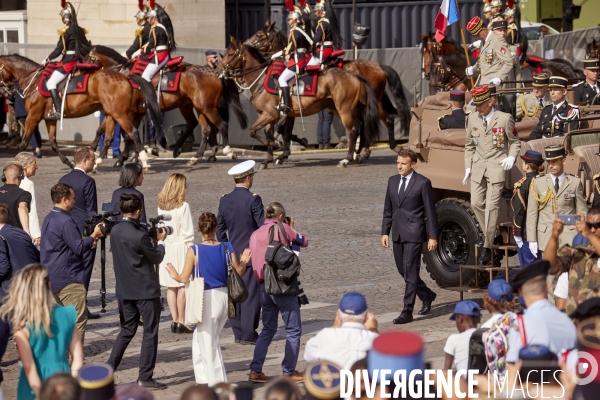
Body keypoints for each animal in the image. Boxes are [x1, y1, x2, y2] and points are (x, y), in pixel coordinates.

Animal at [0, 53, 162, 169]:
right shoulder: (49, 119)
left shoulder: (33, 116)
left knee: (133, 134)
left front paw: (15, 165)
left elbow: (23, 144)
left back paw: (143, 161)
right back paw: (98, 162)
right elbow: (53, 143)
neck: (33, 81)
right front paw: (70, 163)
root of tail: (126, 77)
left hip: (121, 114)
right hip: (112, 113)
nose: (5, 93)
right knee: (109, 137)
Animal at [83, 45, 247, 166]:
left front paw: (122, 157)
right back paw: (190, 153)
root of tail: (214, 72)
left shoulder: (126, 113)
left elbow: (127, 135)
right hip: (194, 106)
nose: (82, 71)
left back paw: (226, 151)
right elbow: (111, 131)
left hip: (206, 107)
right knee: (202, 127)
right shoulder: (131, 113)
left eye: (87, 57)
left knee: (220, 125)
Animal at [219, 37, 380, 167]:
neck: (261, 80)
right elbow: (273, 134)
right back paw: (357, 155)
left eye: (230, 54)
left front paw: (278, 146)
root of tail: (354, 75)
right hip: (339, 108)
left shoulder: (270, 114)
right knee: (359, 126)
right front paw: (268, 159)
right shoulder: (272, 116)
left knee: (352, 130)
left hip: (344, 109)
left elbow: (254, 131)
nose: (219, 70)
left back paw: (347, 159)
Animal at [246, 20, 410, 163]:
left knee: (384, 121)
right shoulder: (291, 110)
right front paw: (285, 151)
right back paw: (361, 152)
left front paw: (286, 149)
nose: (246, 43)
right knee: (366, 124)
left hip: (371, 102)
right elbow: (284, 130)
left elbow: (282, 130)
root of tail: (379, 66)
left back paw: (377, 150)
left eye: (259, 35)